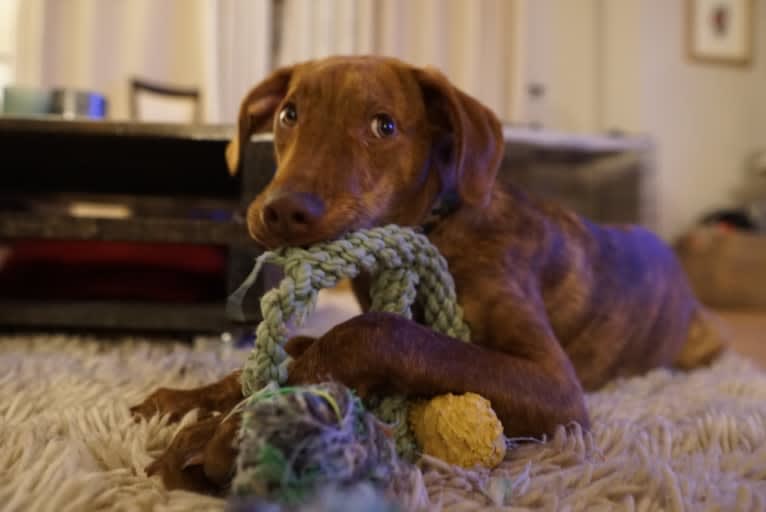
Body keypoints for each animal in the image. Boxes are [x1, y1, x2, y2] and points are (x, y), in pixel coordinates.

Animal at [132, 56, 728, 492]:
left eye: (384, 125)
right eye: (288, 115)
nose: (280, 211)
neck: (438, 225)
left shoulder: (558, 389)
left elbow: (377, 333)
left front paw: (230, 431)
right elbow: (298, 348)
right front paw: (186, 400)